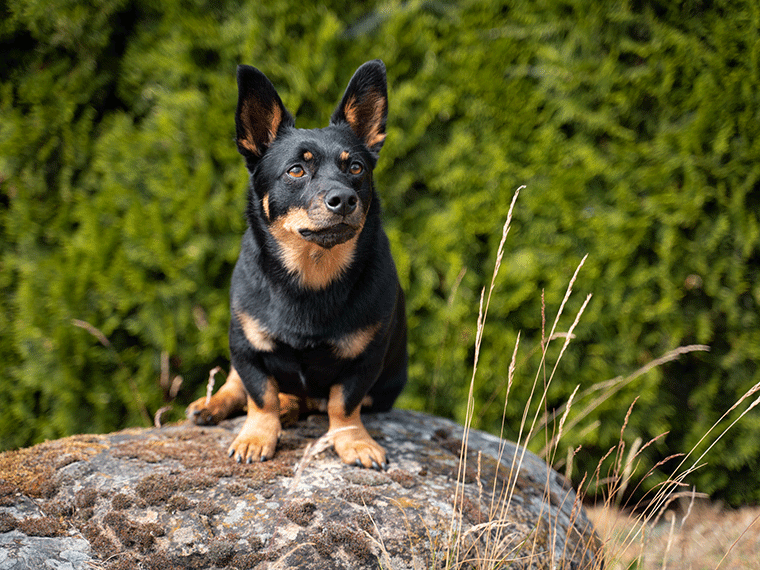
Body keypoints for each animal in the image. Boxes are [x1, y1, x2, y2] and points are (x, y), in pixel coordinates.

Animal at [187, 60, 406, 470]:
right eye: (296, 171)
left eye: (356, 168)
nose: (344, 199)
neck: (311, 272)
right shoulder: (247, 346)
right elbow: (260, 396)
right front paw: (257, 437)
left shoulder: (366, 360)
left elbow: (344, 404)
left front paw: (354, 441)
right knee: (237, 384)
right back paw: (213, 405)